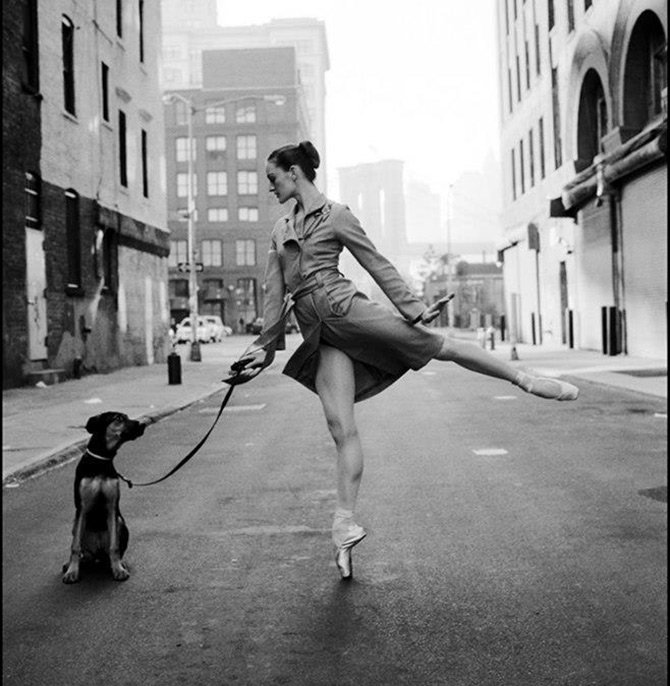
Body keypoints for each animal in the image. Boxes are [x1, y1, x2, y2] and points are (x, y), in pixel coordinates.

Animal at [62, 414, 147, 584]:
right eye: (119, 419)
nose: (143, 423)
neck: (101, 460)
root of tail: (97, 554)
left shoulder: (111, 507)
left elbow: (114, 546)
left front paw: (118, 570)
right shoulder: (82, 508)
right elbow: (75, 546)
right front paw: (72, 572)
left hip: (121, 523)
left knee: (114, 550)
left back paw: (120, 562)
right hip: (75, 524)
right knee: (81, 550)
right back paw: (71, 564)